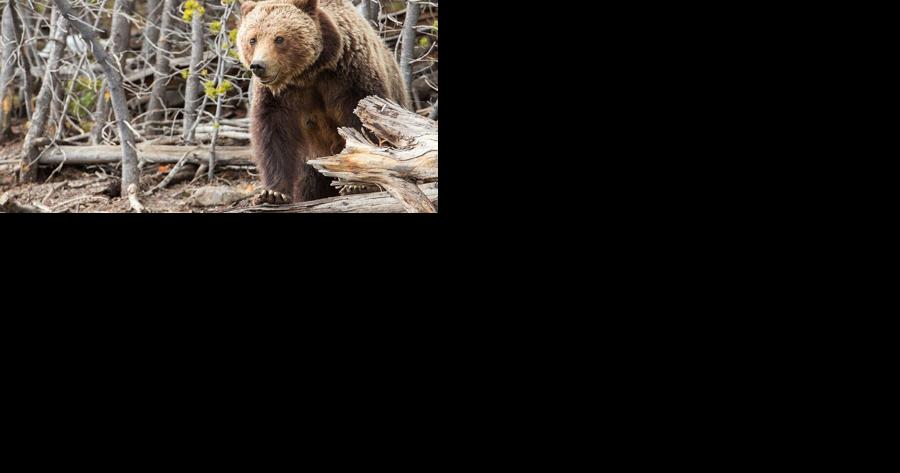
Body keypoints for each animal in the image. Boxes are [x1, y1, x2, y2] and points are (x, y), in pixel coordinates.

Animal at [237, 0, 411, 204]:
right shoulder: (278, 97)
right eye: (252, 39)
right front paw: (272, 193)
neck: (309, 73)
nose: (259, 66)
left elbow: (365, 124)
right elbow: (274, 135)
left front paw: (358, 184)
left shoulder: (350, 77)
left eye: (279, 38)